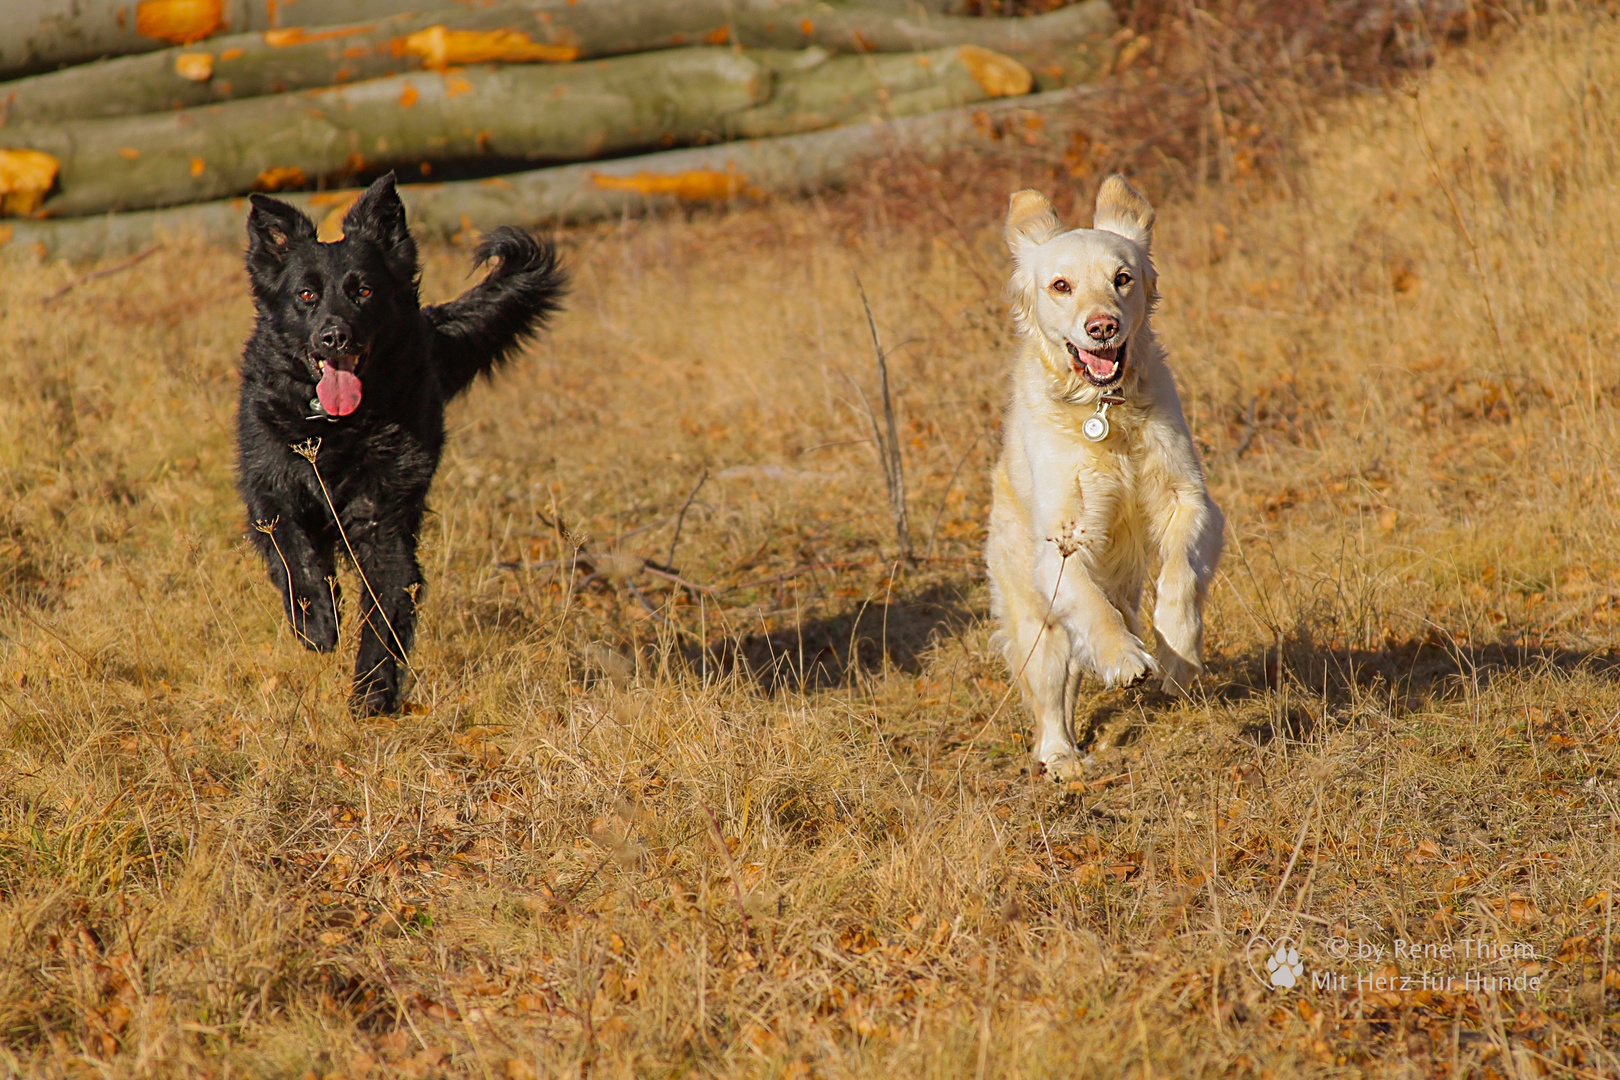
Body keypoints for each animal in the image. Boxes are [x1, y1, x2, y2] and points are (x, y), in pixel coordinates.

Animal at [236, 173, 567, 712]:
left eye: (364, 291)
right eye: (306, 294)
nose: (335, 337)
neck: (338, 426)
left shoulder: (382, 518)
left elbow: (386, 607)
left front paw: (373, 692)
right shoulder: (269, 489)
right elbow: (293, 553)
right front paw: (316, 620)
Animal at [978, 177, 1218, 780]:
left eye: (1122, 278)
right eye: (1060, 285)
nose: (1102, 326)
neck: (1104, 409)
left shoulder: (1192, 500)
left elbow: (1180, 573)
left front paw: (1177, 652)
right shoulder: (1062, 541)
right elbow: (1089, 604)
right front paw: (1123, 657)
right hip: (1036, 623)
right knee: (1051, 701)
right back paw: (1063, 759)